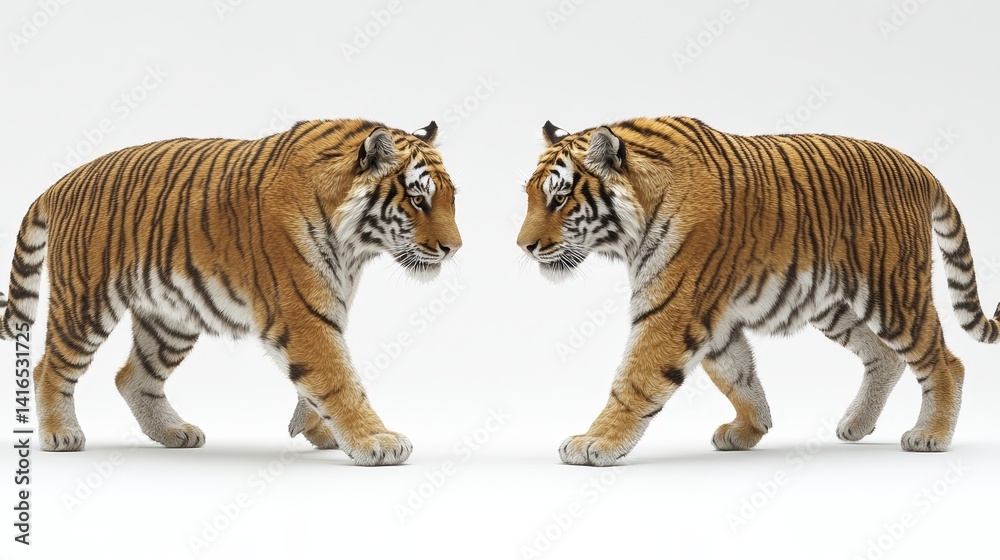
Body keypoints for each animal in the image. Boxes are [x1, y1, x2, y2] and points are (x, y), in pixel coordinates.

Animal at [0, 119, 462, 466]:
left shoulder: (325, 305)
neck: (356, 246)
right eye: (418, 200)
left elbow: (320, 383)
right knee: (48, 368)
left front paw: (316, 429)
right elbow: (338, 380)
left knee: (131, 377)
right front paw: (375, 440)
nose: (454, 248)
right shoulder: (302, 314)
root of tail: (61, 182)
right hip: (86, 305)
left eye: (451, 199)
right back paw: (61, 434)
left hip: (171, 319)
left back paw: (174, 431)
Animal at [517, 117, 999, 466]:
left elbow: (634, 380)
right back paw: (856, 426)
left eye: (559, 199)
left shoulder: (672, 308)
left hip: (894, 291)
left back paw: (930, 435)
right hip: (831, 304)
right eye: (530, 197)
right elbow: (738, 375)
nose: (523, 246)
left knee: (946, 362)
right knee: (885, 357)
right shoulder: (713, 318)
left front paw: (593, 442)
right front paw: (751, 429)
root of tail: (919, 167)